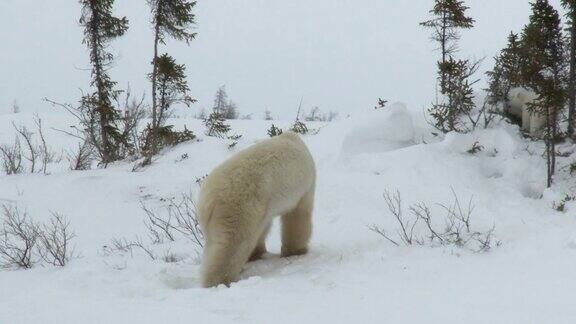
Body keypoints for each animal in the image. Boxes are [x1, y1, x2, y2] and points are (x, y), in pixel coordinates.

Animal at [197, 130, 316, 288]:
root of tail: (207, 201)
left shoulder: (266, 205)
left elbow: (264, 226)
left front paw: (257, 254)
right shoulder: (304, 189)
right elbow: (298, 217)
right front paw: (296, 251)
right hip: (238, 207)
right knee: (232, 244)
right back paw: (220, 281)